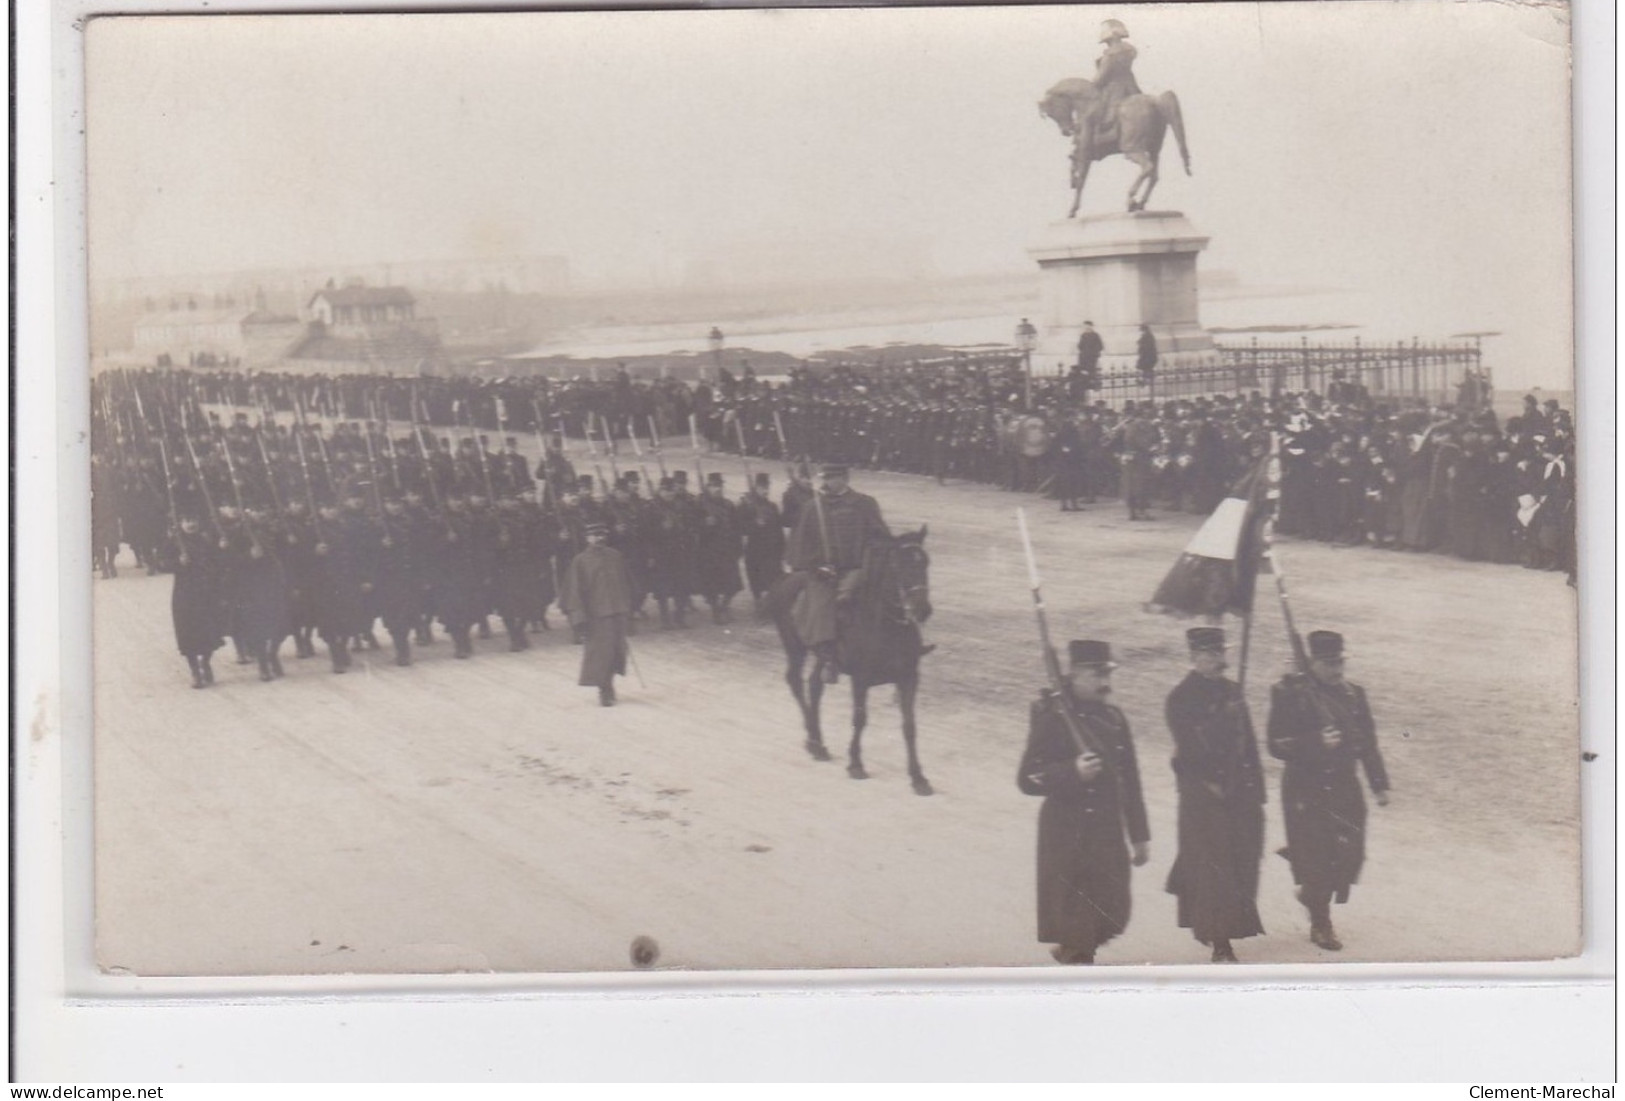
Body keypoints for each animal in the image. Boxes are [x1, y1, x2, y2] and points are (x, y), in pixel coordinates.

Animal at [767, 529, 936, 798]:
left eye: (925, 562)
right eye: (898, 564)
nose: (922, 609)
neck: (886, 627)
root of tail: (784, 579)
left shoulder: (909, 677)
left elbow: (909, 725)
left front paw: (918, 777)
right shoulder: (861, 679)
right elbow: (860, 718)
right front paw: (856, 763)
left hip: (822, 656)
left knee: (814, 685)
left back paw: (818, 741)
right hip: (795, 648)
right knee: (795, 682)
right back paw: (813, 740)